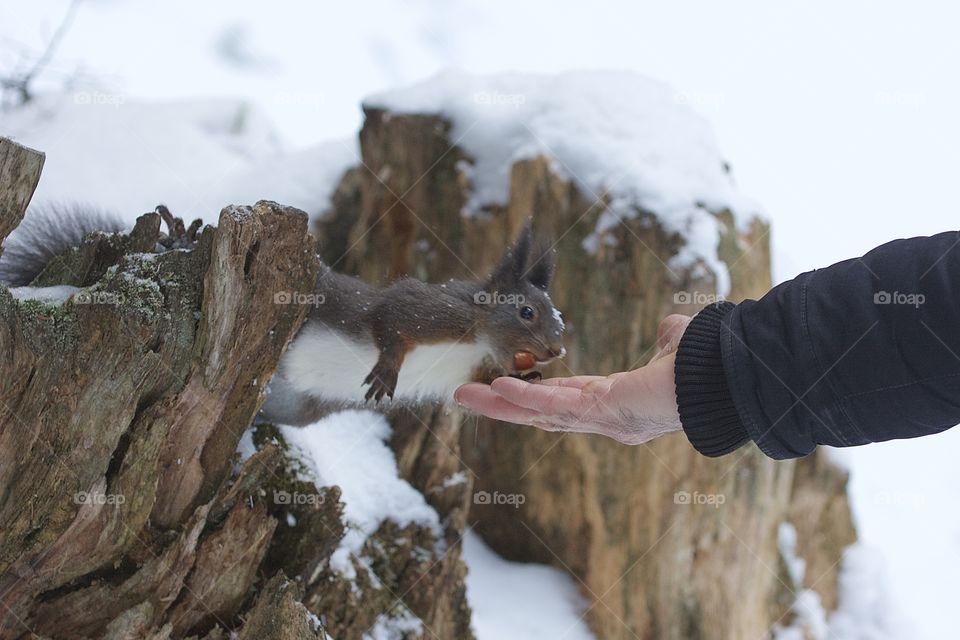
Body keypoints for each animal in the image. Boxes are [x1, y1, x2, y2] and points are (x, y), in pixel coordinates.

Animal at [0, 205, 568, 424]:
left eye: (560, 320)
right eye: (525, 312)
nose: (557, 350)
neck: (476, 343)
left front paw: (530, 380)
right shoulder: (433, 312)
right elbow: (392, 317)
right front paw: (388, 367)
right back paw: (180, 238)